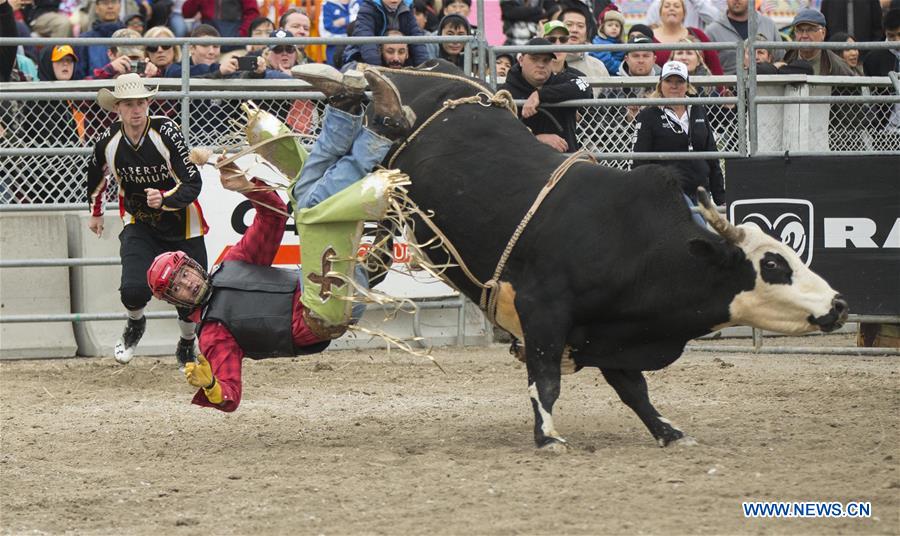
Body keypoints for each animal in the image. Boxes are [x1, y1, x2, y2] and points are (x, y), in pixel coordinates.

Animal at [374, 60, 836, 450]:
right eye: (772, 265)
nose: (839, 304)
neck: (632, 241)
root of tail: (437, 68)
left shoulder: (612, 329)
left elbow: (634, 390)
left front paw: (668, 431)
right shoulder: (542, 311)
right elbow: (545, 380)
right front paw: (548, 436)